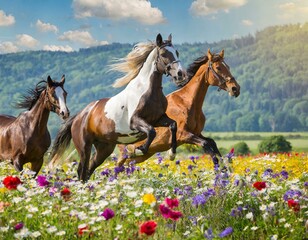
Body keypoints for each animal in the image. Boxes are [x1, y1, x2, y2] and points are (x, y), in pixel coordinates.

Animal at [49, 33, 186, 180]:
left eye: (177, 52)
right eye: (164, 54)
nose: (180, 74)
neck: (147, 90)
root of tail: (79, 116)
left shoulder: (158, 119)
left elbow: (173, 125)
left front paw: (171, 154)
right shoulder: (135, 121)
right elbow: (151, 132)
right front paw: (139, 150)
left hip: (104, 148)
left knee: (88, 170)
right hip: (84, 147)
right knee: (82, 170)